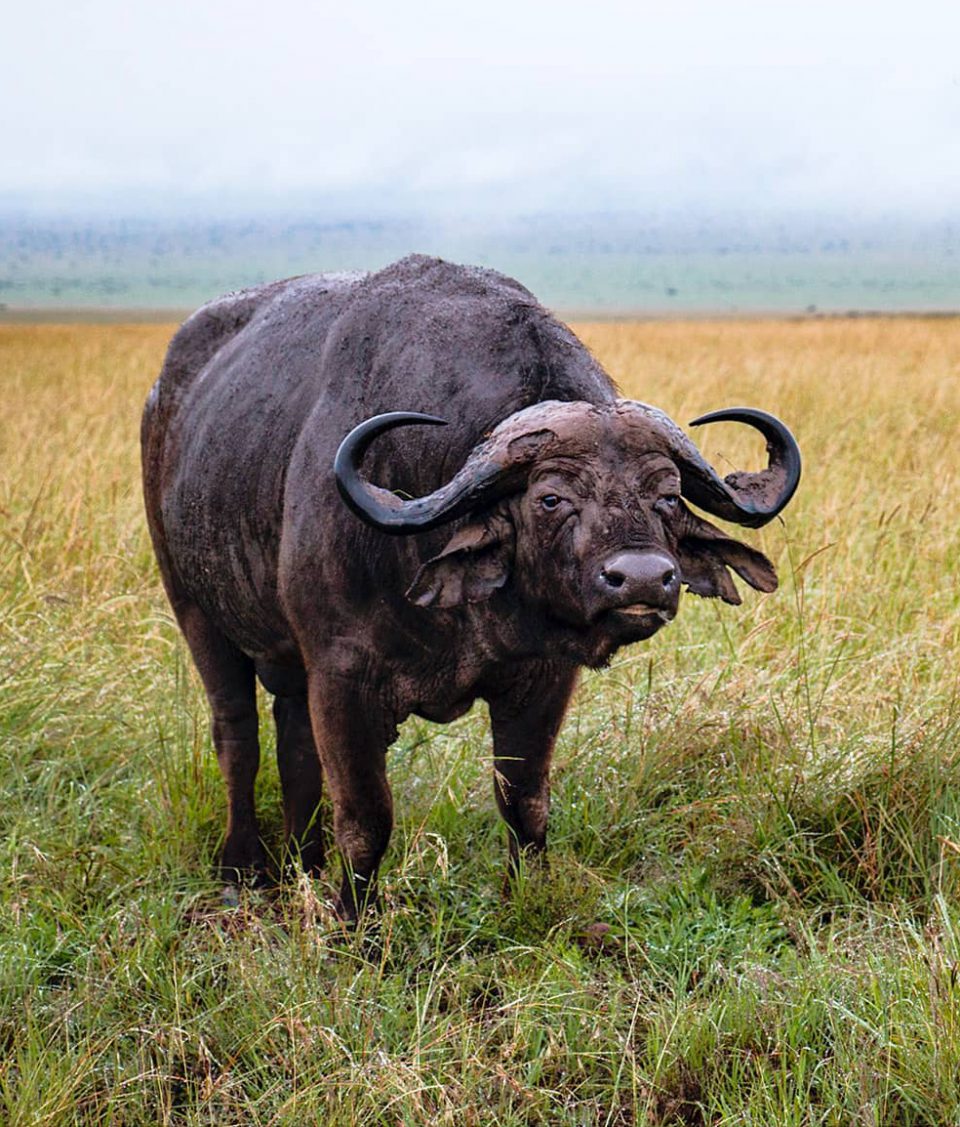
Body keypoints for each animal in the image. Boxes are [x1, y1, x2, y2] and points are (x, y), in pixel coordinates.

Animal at [142, 253, 797, 915]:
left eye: (666, 496)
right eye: (550, 498)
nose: (641, 579)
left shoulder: (543, 678)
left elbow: (524, 801)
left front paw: (524, 899)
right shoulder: (341, 677)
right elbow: (366, 818)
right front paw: (353, 924)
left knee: (293, 741)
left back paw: (304, 863)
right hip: (195, 611)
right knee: (237, 737)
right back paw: (242, 867)